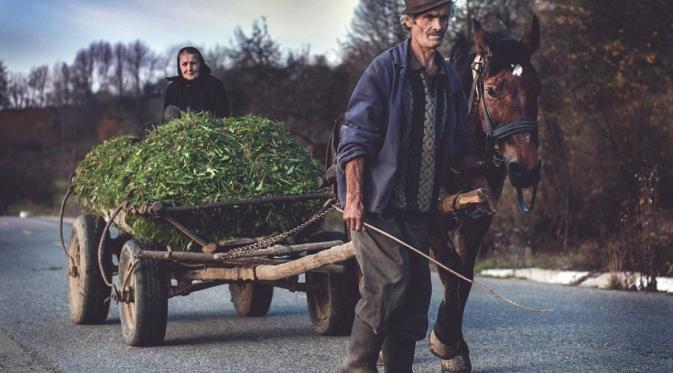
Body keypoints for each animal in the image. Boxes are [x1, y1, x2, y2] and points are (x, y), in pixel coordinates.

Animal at [428, 16, 544, 370]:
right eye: (491, 90)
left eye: (537, 87)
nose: (526, 167)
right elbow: (448, 269)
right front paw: (445, 339)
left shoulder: (478, 217)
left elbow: (463, 275)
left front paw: (454, 345)